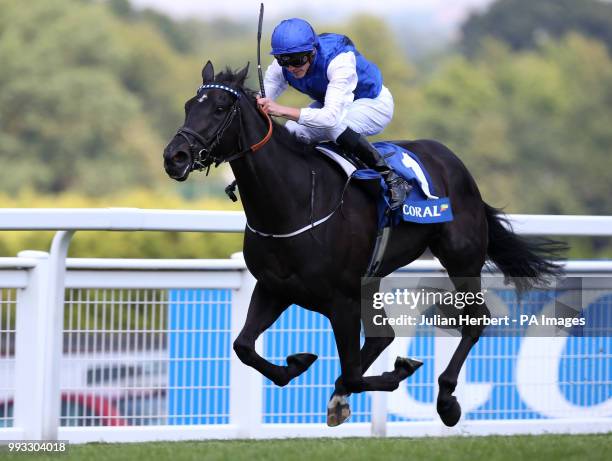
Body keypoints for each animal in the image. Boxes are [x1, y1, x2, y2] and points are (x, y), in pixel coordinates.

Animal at [164, 62, 564, 428]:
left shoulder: (341, 301)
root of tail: (455, 163)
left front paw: (399, 372)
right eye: (188, 105)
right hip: (370, 281)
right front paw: (298, 363)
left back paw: (447, 399)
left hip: (461, 259)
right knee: (381, 338)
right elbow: (244, 347)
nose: (174, 157)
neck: (293, 202)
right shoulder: (274, 288)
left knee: (474, 320)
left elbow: (355, 374)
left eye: (219, 108)